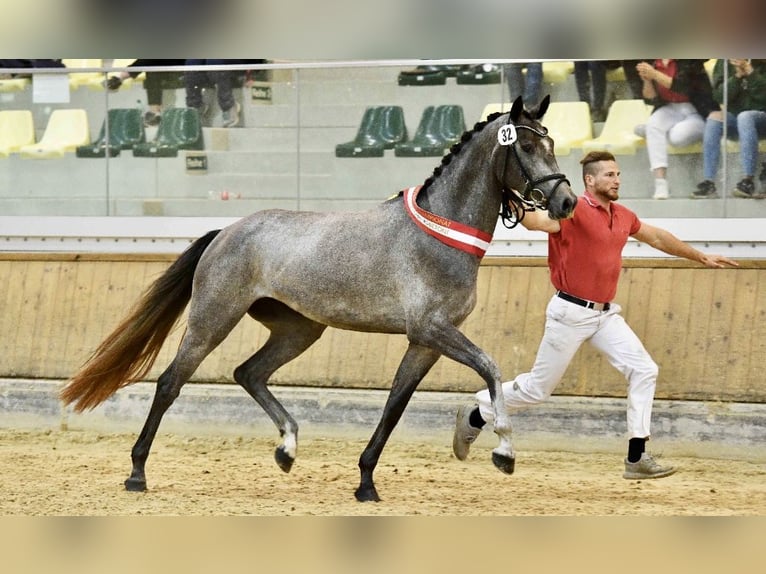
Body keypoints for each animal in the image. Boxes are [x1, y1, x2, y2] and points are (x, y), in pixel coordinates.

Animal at [63, 95, 580, 504]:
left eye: (552, 143)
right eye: (527, 146)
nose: (566, 203)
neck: (443, 232)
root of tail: (226, 231)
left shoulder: (425, 343)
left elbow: (395, 406)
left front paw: (366, 483)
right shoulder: (432, 329)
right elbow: (490, 367)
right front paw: (504, 451)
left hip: (300, 328)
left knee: (249, 372)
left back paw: (287, 448)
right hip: (213, 319)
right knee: (170, 383)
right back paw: (137, 473)